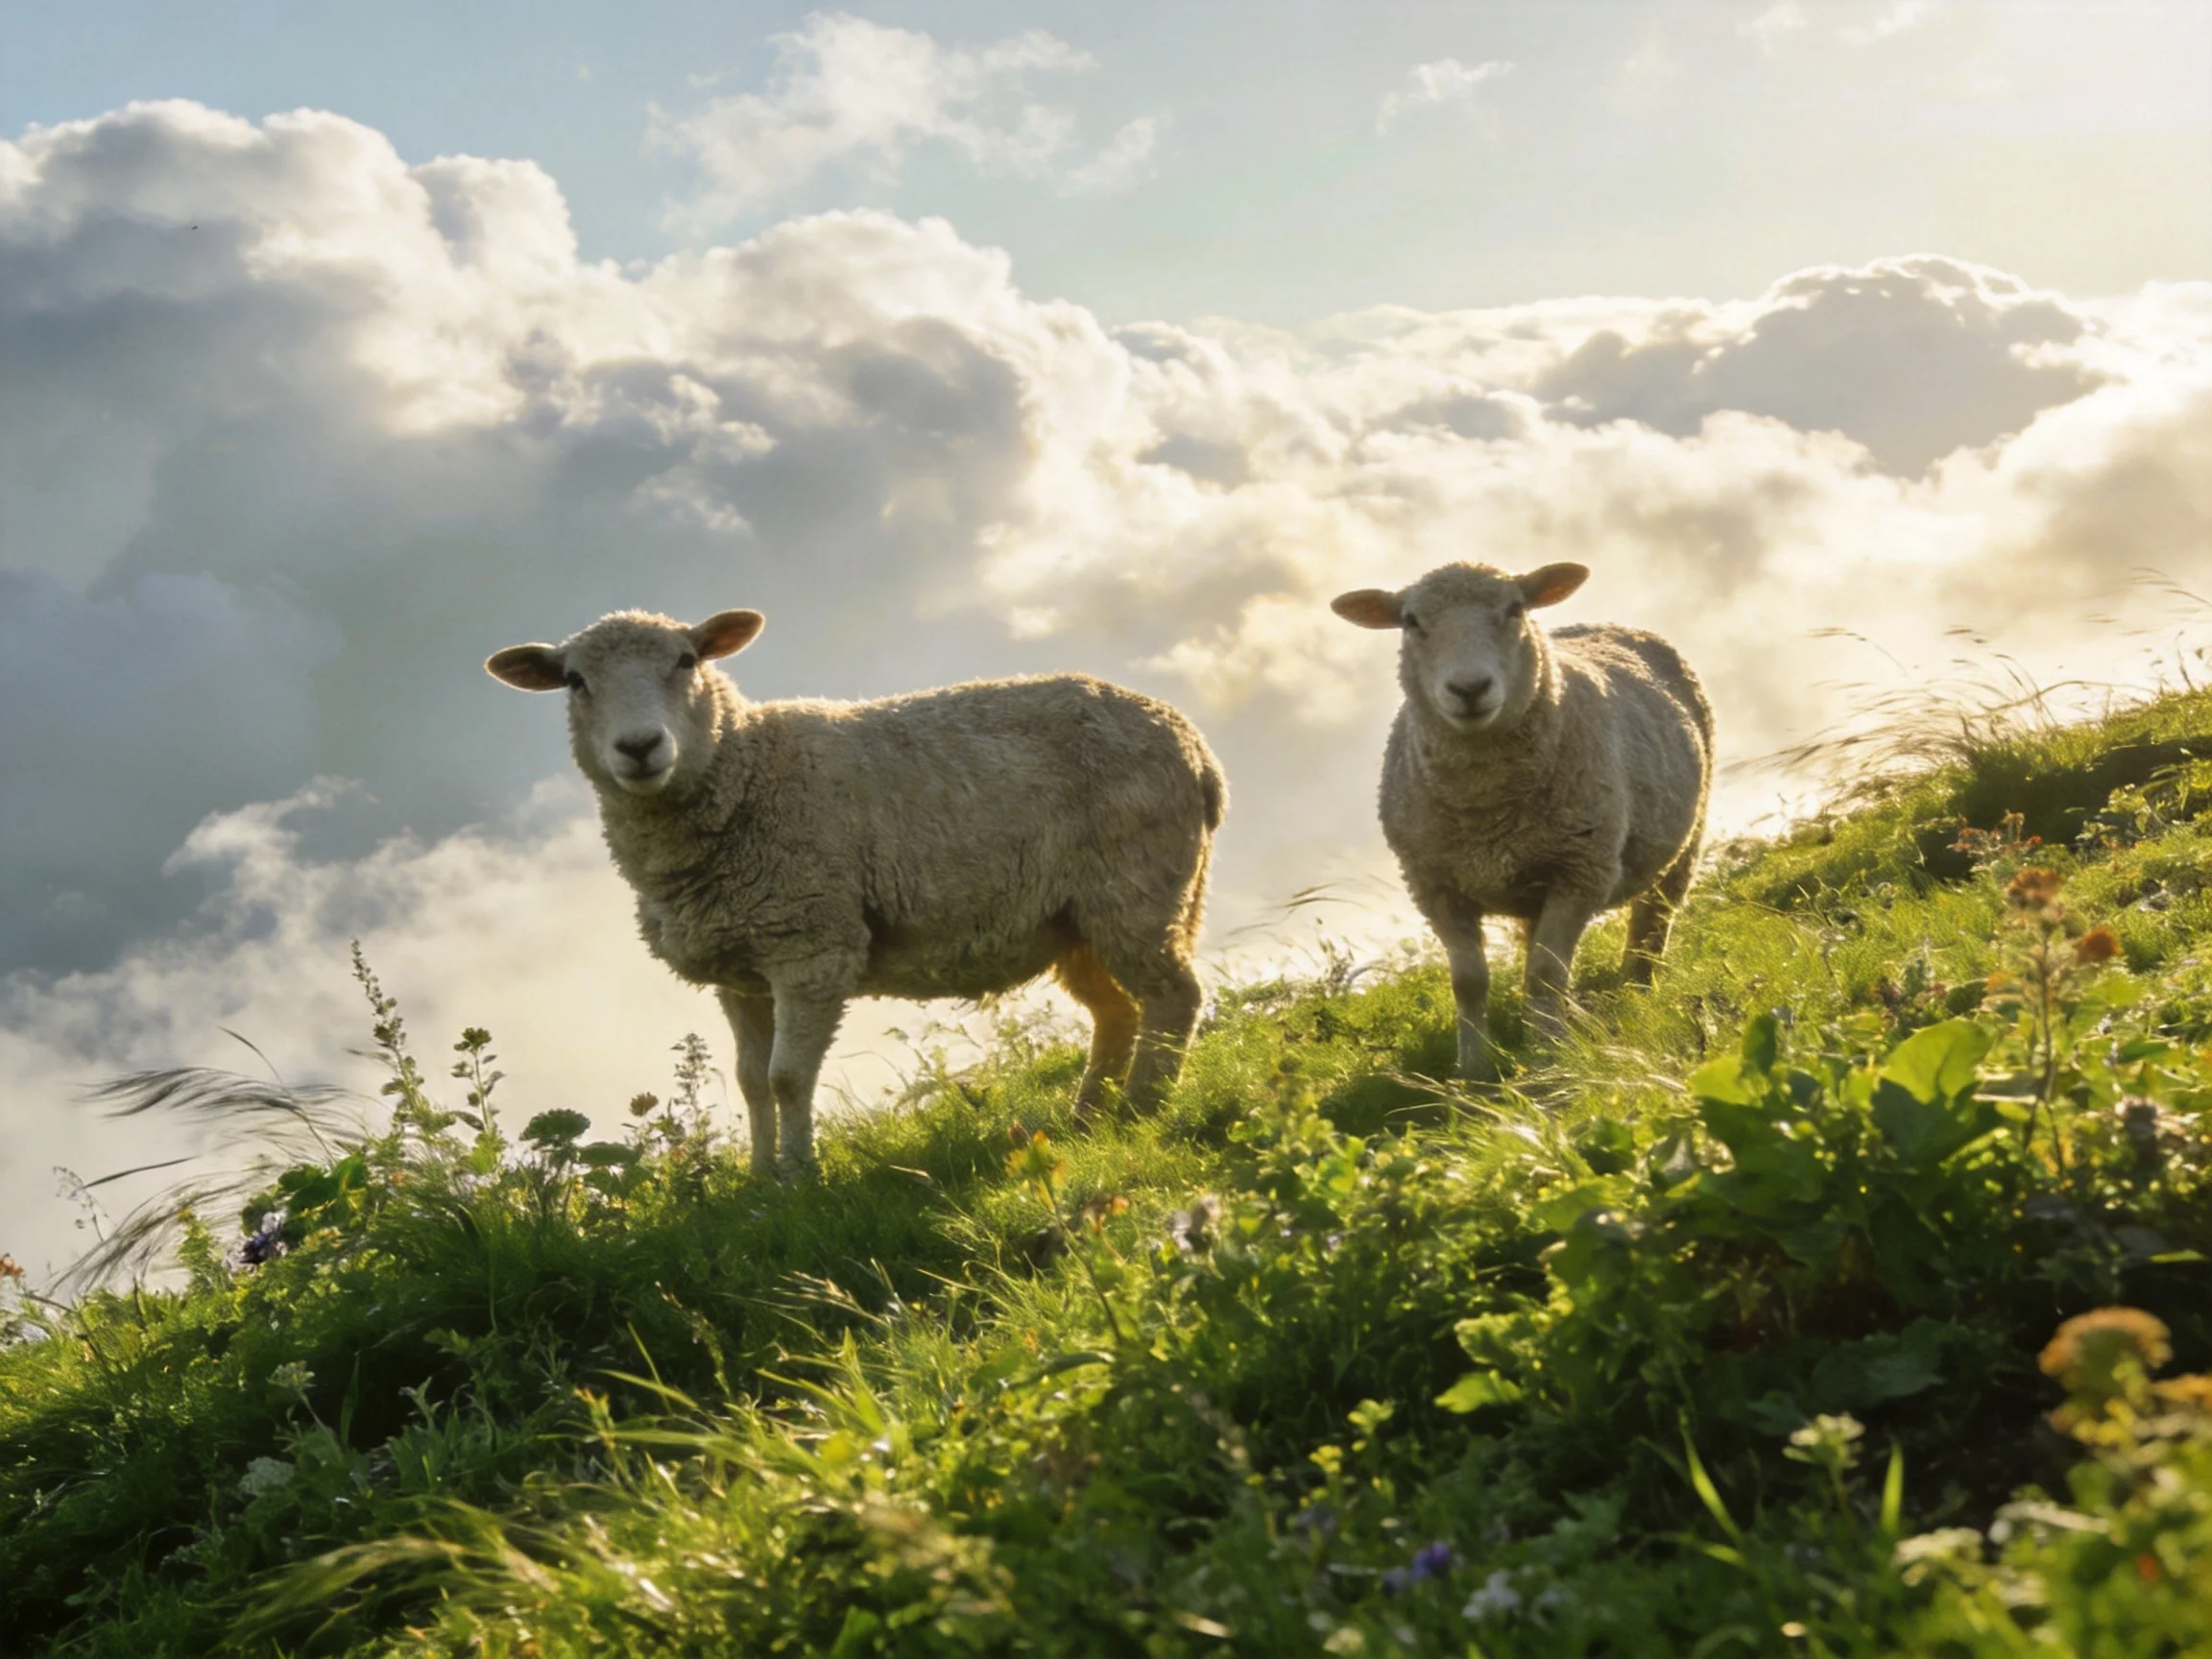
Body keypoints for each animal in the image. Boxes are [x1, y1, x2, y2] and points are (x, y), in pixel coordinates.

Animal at [487, 608, 1225, 1181]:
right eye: (575, 680)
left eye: (687, 659)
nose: (640, 747)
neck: (746, 772)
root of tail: (1195, 745)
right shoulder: (740, 970)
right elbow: (751, 1081)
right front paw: (757, 1180)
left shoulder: (811, 946)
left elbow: (787, 1077)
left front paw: (798, 1176)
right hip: (1077, 917)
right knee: (1117, 1011)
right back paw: (1090, 1117)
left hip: (1136, 885)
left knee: (1172, 997)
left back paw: (1145, 1110)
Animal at [1331, 562, 1712, 1080]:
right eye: (1410, 621)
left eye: (1514, 608)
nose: (1469, 689)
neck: (1485, 810)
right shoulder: (1435, 887)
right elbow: (1470, 982)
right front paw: (1472, 1069)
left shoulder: (1580, 871)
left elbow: (1546, 975)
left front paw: (1549, 1056)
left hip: (1684, 840)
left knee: (1652, 923)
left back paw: (1636, 993)